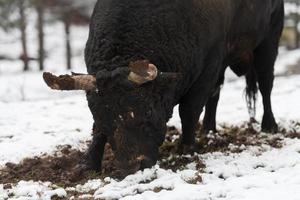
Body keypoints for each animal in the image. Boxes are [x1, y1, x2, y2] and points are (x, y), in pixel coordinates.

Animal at [44, 0, 284, 178]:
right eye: (104, 117)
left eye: (147, 112)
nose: (132, 167)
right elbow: (97, 129)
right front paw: (87, 164)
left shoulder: (210, 63)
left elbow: (189, 111)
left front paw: (188, 149)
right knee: (216, 93)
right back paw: (209, 131)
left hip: (269, 38)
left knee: (266, 84)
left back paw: (269, 125)